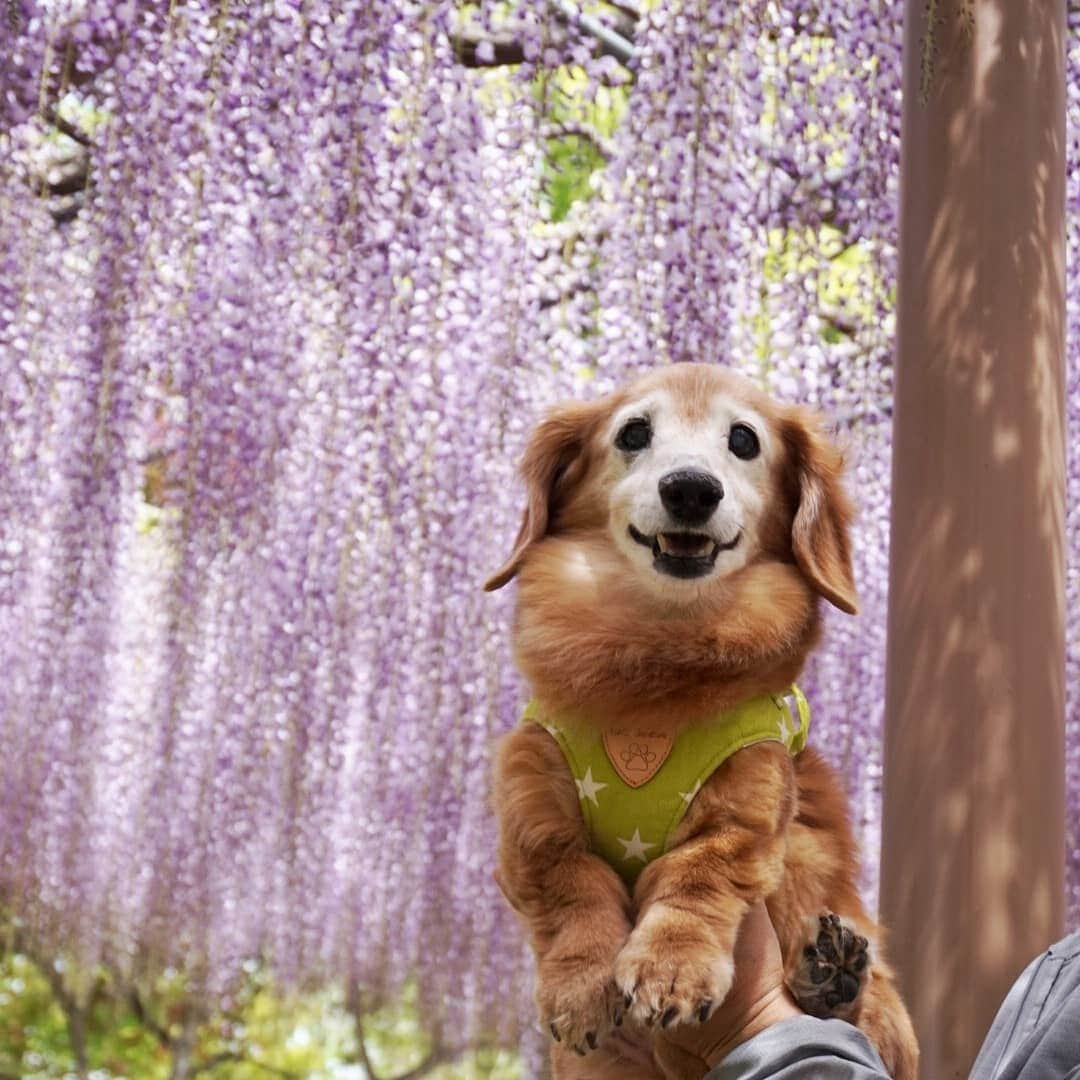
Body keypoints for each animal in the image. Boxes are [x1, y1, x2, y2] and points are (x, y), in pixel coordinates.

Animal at [486, 365, 915, 1080]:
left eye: (743, 439)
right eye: (634, 432)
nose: (690, 488)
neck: (655, 672)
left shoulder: (744, 812)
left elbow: (694, 877)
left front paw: (672, 968)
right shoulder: (533, 818)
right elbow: (574, 889)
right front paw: (581, 986)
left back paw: (834, 979)